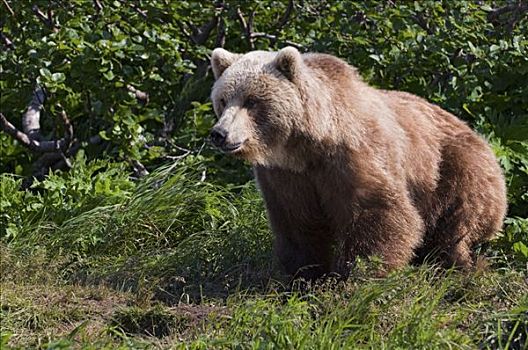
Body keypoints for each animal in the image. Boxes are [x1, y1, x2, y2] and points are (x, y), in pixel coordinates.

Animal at [209, 46, 508, 278]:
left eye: (252, 100)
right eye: (222, 100)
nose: (219, 134)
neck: (304, 147)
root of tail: (477, 134)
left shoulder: (350, 158)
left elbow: (378, 212)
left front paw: (357, 273)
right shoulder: (285, 176)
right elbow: (297, 223)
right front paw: (303, 273)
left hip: (457, 167)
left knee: (459, 221)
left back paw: (456, 262)